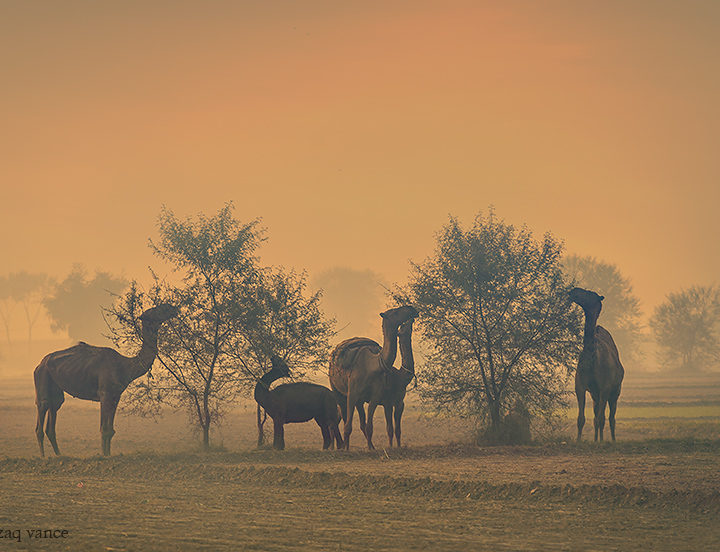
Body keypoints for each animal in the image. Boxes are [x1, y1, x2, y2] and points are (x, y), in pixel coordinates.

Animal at [33, 303, 177, 456]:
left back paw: (59, 455)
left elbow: (110, 430)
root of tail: (40, 364)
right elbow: (104, 429)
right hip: (42, 376)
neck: (125, 366)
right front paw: (104, 455)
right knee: (42, 411)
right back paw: (43, 457)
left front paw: (108, 454)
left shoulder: (116, 395)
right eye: (157, 309)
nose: (173, 307)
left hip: (55, 387)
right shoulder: (105, 394)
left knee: (53, 412)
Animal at [329, 305, 418, 450]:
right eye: (396, 312)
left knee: (359, 422)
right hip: (336, 389)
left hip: (360, 400)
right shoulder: (354, 394)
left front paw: (376, 448)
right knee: (341, 418)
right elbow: (349, 426)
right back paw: (339, 446)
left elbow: (375, 427)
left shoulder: (383, 398)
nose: (412, 309)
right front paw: (347, 449)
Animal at [570, 287, 624, 441]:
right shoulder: (580, 386)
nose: (573, 291)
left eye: (590, 294)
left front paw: (600, 442)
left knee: (610, 418)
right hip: (595, 395)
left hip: (615, 391)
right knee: (596, 416)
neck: (592, 358)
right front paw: (578, 441)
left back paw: (612, 440)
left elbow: (602, 419)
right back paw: (596, 439)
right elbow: (581, 419)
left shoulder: (605, 387)